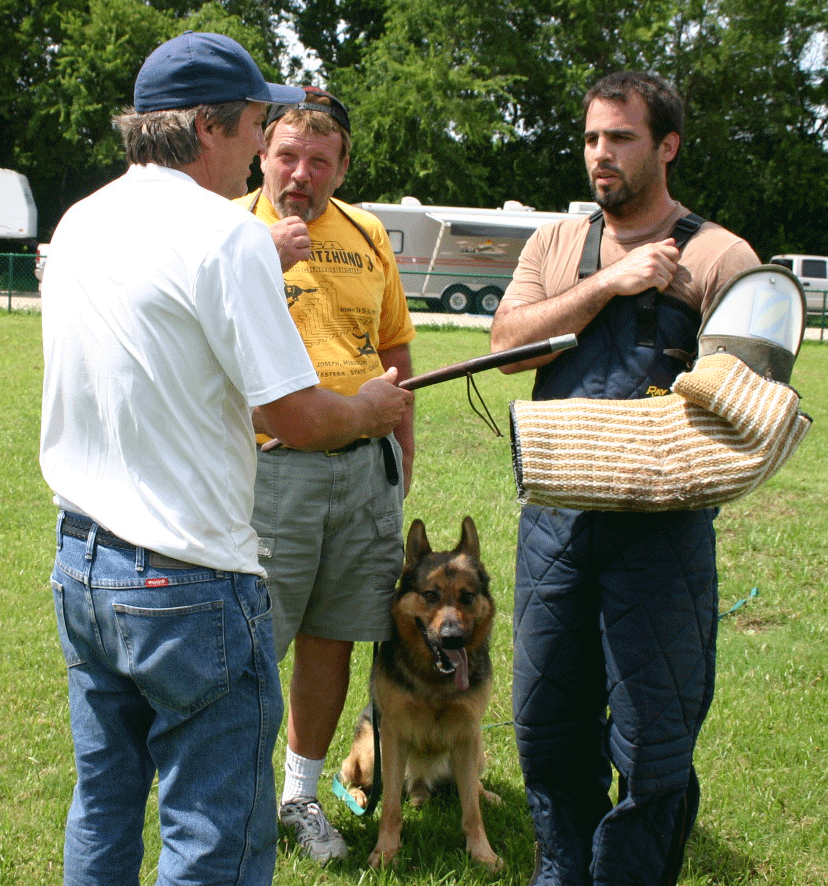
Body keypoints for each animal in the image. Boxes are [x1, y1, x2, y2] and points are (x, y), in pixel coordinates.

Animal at [340, 516, 502, 872]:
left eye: (467, 596)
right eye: (430, 595)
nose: (452, 638)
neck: (435, 682)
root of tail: (420, 783)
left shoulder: (466, 735)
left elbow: (472, 811)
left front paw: (482, 852)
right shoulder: (393, 736)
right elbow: (389, 808)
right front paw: (386, 851)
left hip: (478, 746)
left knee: (471, 785)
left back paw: (486, 793)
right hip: (370, 752)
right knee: (351, 778)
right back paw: (357, 796)